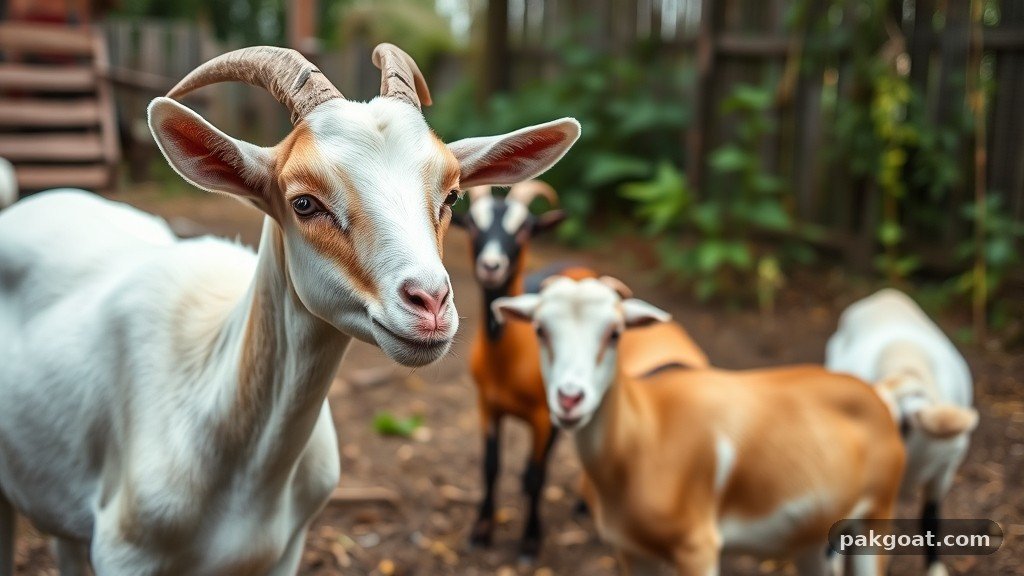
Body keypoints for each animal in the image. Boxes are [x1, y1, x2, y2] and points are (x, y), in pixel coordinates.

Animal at [494, 276, 905, 576]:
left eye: (615, 332)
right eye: (540, 329)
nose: (569, 399)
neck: (645, 436)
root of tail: (877, 398)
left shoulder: (698, 548)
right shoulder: (631, 550)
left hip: (875, 520)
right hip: (812, 540)